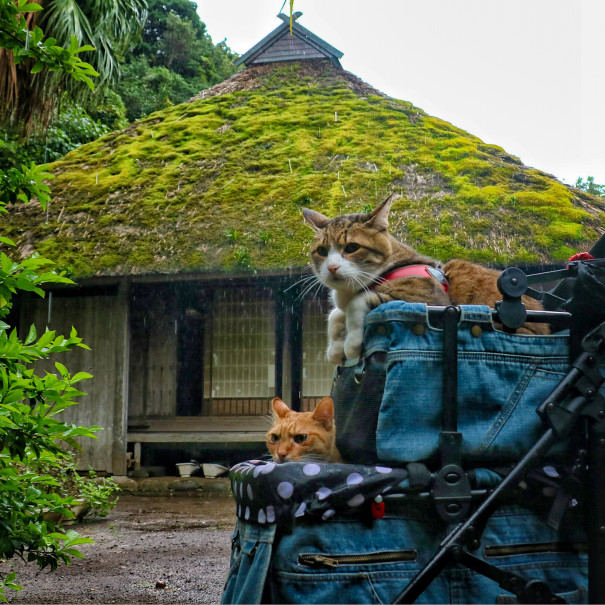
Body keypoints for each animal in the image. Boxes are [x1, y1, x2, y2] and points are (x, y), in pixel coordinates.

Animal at [304, 193, 544, 364]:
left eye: (352, 247)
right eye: (322, 251)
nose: (332, 267)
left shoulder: (427, 300)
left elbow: (357, 302)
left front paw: (351, 344)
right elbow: (334, 314)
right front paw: (335, 348)